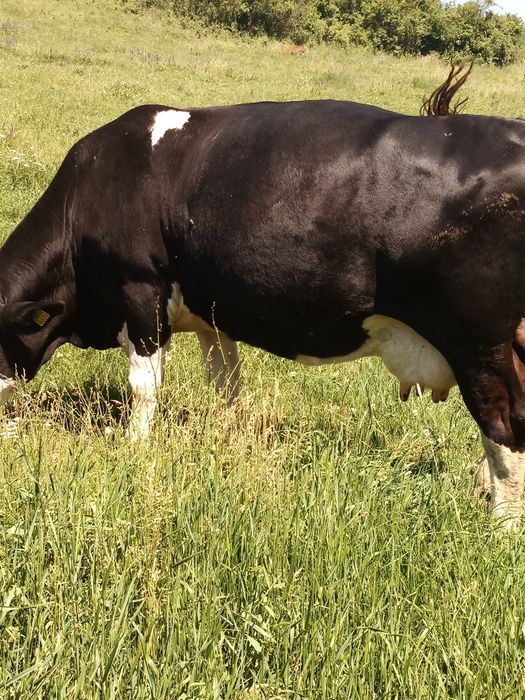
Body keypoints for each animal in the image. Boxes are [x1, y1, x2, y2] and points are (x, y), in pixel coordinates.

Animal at [1, 74, 525, 530]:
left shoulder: (140, 290)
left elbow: (143, 387)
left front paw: (134, 448)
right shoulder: (211, 314)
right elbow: (226, 384)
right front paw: (228, 439)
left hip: (482, 343)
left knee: (505, 428)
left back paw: (499, 527)